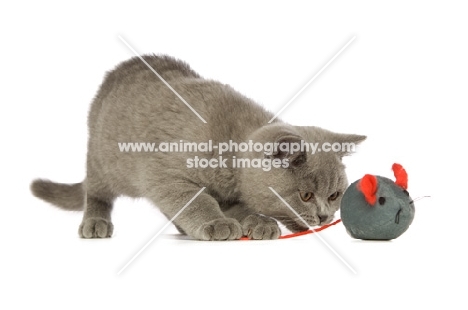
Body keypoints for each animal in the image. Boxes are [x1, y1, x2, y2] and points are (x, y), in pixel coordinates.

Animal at [31, 55, 368, 240]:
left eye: (334, 195)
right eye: (306, 196)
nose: (324, 217)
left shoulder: (229, 192)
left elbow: (238, 206)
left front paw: (257, 222)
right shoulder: (165, 175)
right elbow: (198, 200)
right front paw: (217, 223)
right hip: (104, 162)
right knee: (96, 192)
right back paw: (95, 222)